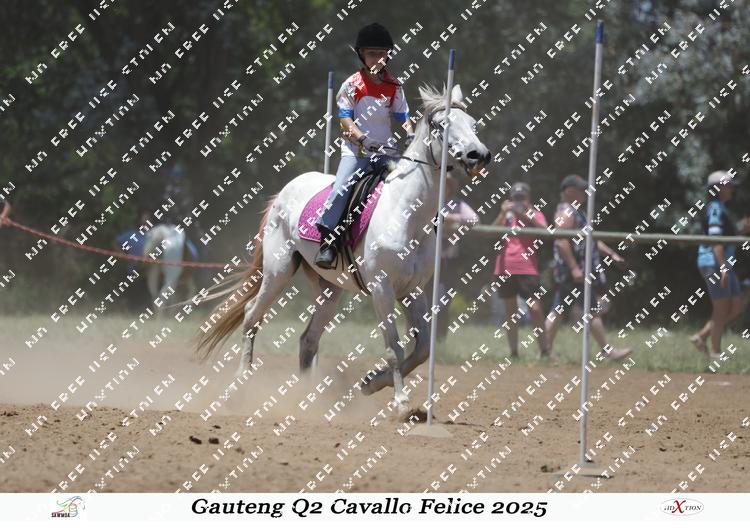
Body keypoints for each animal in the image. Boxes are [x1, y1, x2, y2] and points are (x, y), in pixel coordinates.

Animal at [196, 84, 491, 413]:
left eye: (473, 123)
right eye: (442, 125)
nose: (479, 154)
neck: (406, 213)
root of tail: (282, 194)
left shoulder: (413, 291)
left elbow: (423, 349)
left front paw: (373, 382)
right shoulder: (382, 289)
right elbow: (394, 348)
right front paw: (401, 402)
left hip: (329, 290)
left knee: (308, 339)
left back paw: (308, 397)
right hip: (278, 272)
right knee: (251, 316)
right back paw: (241, 382)